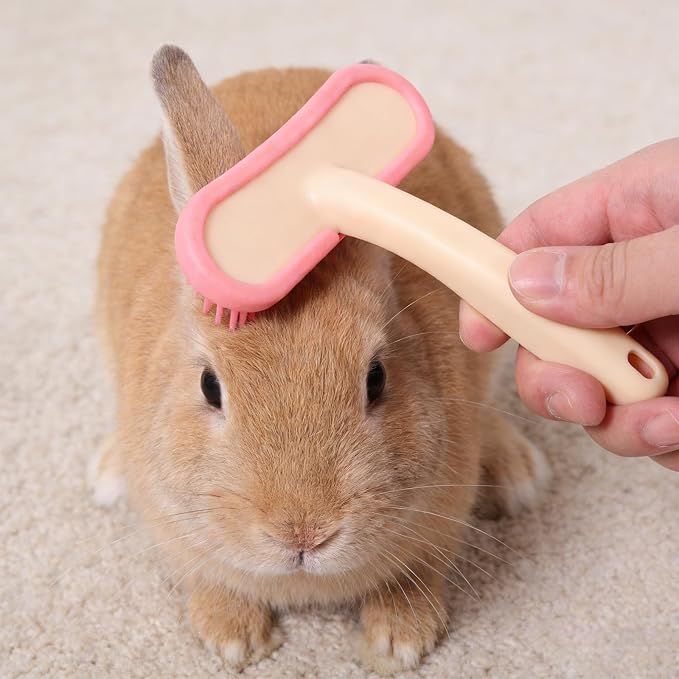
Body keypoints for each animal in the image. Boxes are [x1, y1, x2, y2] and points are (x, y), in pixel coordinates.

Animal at [92, 45, 550, 675]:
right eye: (210, 386)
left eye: (376, 379)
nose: (303, 534)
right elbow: (207, 578)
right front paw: (234, 640)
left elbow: (420, 571)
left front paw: (399, 642)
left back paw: (517, 473)